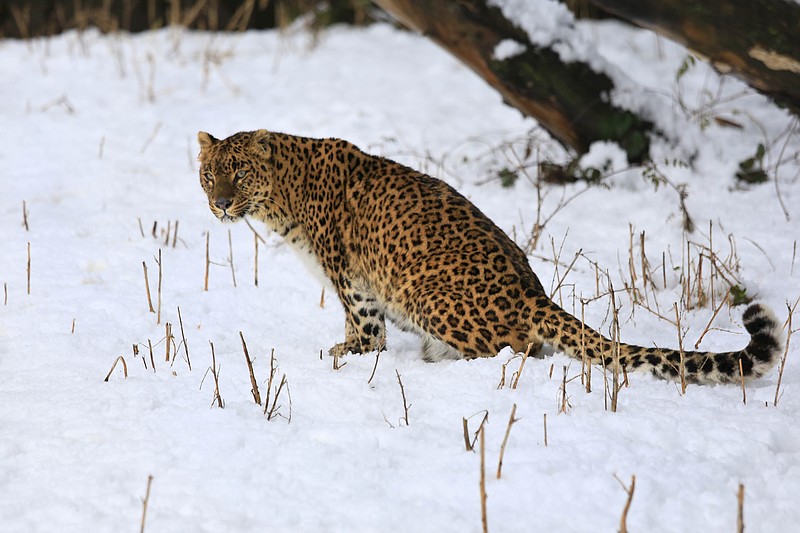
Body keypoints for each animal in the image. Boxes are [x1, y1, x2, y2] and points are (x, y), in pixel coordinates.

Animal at [197, 130, 784, 384]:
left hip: (426, 293)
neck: (284, 196)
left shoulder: (354, 282)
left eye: (239, 172)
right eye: (209, 174)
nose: (220, 202)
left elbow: (365, 331)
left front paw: (347, 355)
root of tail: (534, 294)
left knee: (507, 351)